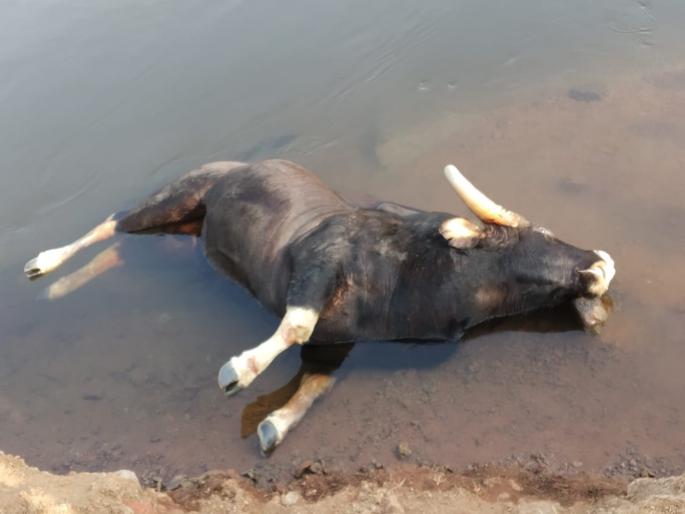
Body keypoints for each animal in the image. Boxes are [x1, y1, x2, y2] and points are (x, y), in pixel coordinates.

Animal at [23, 159, 616, 453]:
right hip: (177, 197)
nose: (600, 261)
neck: (419, 280)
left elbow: (315, 384)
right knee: (114, 222)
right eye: (544, 233)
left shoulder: (340, 345)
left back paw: (60, 290)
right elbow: (295, 325)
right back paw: (45, 265)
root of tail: (233, 163)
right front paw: (238, 370)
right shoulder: (318, 266)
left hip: (184, 241)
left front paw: (275, 426)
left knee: (121, 250)